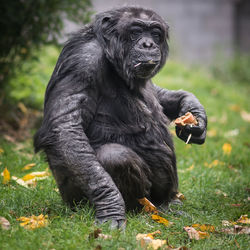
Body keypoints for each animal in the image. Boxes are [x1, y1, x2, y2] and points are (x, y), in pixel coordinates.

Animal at [34, 5, 207, 229]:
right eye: (135, 32)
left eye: (155, 33)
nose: (148, 43)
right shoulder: (82, 63)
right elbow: (66, 128)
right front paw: (110, 205)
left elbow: (157, 94)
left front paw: (195, 114)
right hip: (77, 202)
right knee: (115, 156)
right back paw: (141, 208)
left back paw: (168, 204)